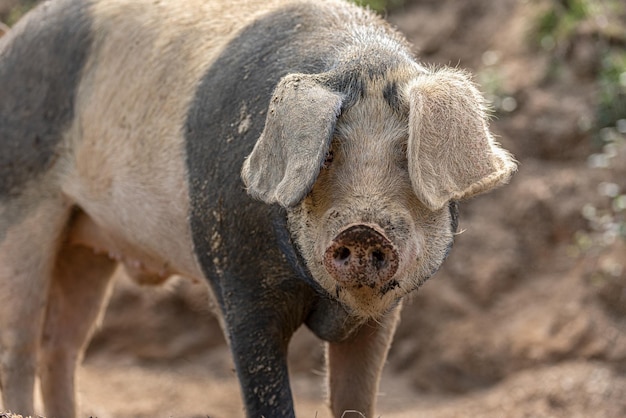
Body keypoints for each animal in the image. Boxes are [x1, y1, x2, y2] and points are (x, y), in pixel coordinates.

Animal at [0, 0, 516, 416]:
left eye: (406, 157)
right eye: (328, 153)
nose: (362, 230)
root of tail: (13, 38)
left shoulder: (385, 311)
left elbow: (356, 400)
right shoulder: (236, 282)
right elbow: (266, 396)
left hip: (87, 243)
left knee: (62, 346)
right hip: (20, 202)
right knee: (19, 346)